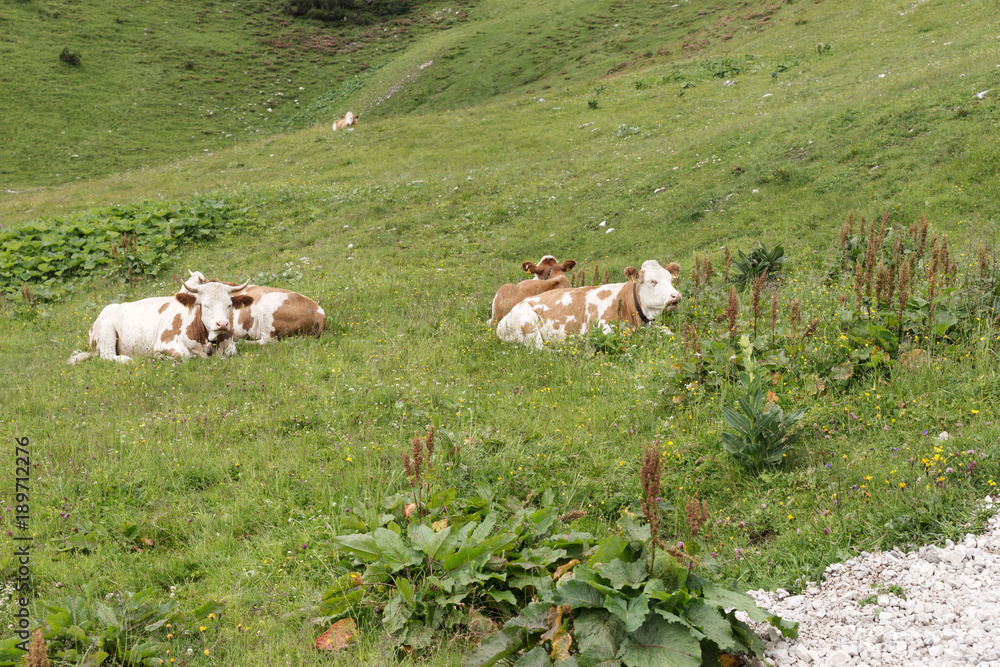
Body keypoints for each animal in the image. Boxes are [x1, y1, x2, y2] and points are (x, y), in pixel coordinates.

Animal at [68, 277, 252, 364]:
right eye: (205, 305)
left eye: (229, 304)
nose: (222, 324)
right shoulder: (164, 342)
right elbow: (185, 355)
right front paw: (159, 358)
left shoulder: (229, 345)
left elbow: (231, 351)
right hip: (106, 333)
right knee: (108, 356)